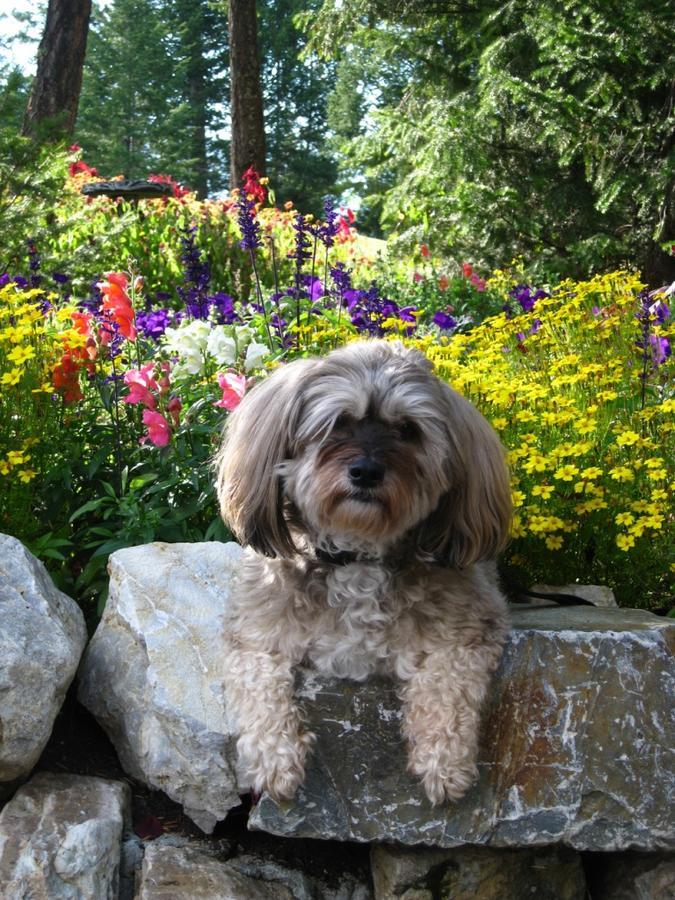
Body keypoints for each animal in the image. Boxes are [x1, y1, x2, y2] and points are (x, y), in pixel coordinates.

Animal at [217, 342, 512, 804]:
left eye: (408, 430)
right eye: (338, 423)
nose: (367, 472)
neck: (356, 555)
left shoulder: (471, 627)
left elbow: (447, 684)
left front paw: (444, 762)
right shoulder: (252, 632)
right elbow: (257, 685)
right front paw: (275, 762)